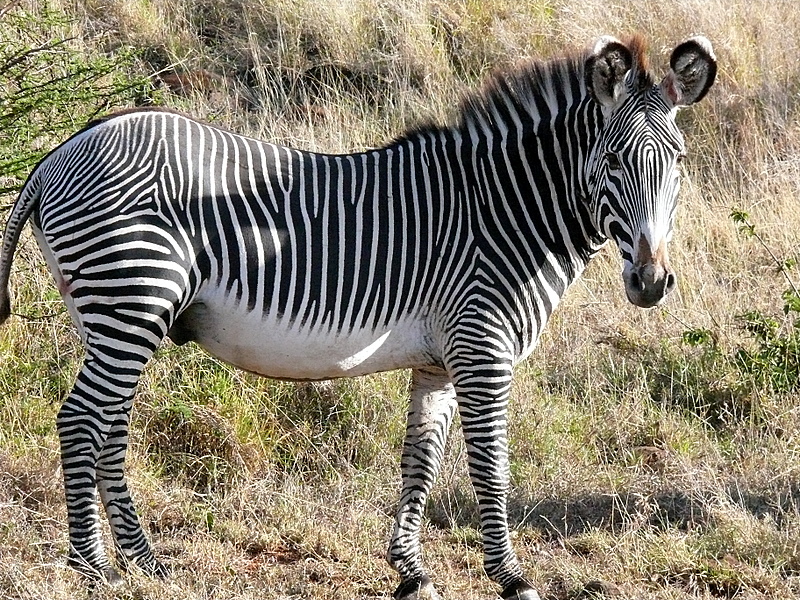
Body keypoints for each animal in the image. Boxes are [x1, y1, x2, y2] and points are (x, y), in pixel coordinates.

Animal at [0, 34, 716, 600]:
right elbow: (491, 465)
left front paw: (412, 572)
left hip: (107, 312)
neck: (505, 210)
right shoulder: (483, 348)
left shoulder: (441, 362)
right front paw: (511, 577)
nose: (650, 283)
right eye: (614, 161)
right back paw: (98, 568)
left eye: (679, 161)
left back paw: (136, 563)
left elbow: (421, 460)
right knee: (82, 420)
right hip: (131, 297)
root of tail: (61, 151)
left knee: (105, 426)